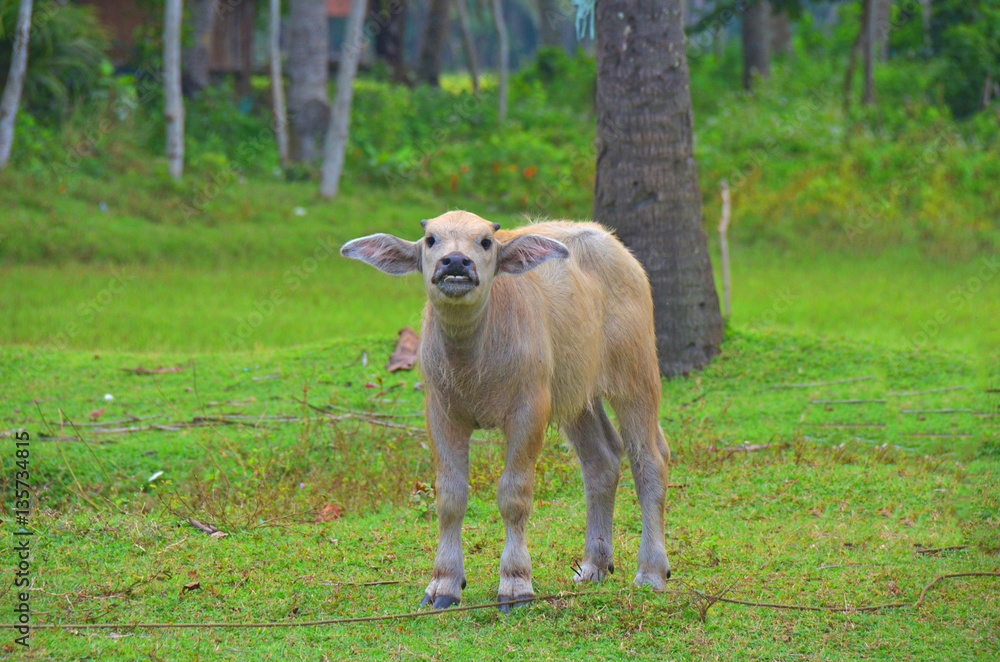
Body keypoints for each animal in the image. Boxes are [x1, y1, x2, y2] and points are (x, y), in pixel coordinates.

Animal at [340, 210, 671, 611]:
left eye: (485, 242)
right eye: (431, 239)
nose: (455, 263)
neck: (473, 361)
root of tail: (618, 250)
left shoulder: (529, 411)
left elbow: (514, 495)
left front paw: (515, 584)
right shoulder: (441, 414)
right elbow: (450, 497)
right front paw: (443, 584)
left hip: (636, 374)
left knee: (649, 459)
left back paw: (652, 571)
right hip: (577, 393)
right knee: (601, 459)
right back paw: (594, 565)